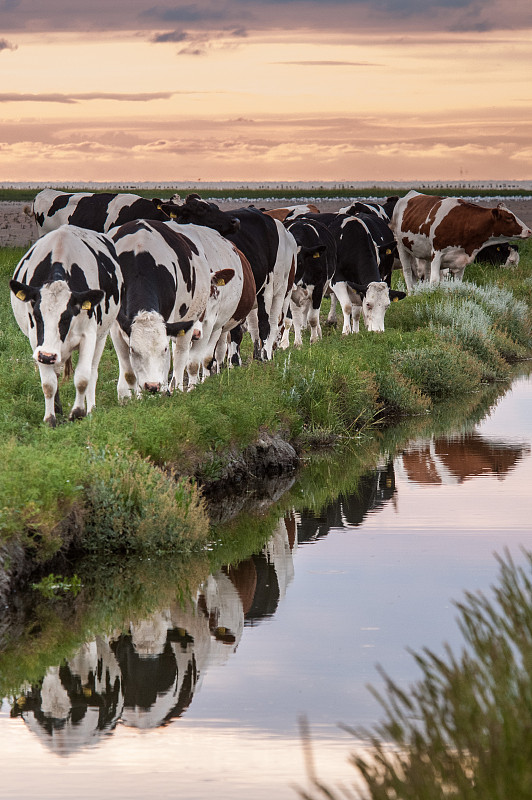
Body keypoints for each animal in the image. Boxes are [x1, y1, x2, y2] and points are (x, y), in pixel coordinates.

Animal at [9, 225, 122, 424]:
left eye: (66, 317)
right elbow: (48, 383)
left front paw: (78, 412)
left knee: (93, 370)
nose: (47, 356)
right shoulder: (38, 341)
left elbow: (83, 378)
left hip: (102, 335)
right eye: (36, 315)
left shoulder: (89, 335)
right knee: (56, 373)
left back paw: (91, 408)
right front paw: (50, 418)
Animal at [158, 197, 300, 362]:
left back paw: (266, 354)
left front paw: (230, 361)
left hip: (276, 289)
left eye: (216, 207)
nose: (235, 221)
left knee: (269, 322)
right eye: (201, 209)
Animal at [280, 216, 334, 346]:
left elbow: (313, 318)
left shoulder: (318, 288)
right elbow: (290, 319)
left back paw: (317, 331)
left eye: (299, 262)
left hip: (324, 287)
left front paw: (314, 340)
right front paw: (289, 343)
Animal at [390, 189, 532, 292]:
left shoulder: (460, 260)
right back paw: (411, 293)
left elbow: (457, 283)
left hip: (424, 254)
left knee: (424, 273)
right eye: (509, 218)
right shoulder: (437, 254)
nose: (529, 231)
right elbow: (435, 281)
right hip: (402, 247)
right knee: (408, 272)